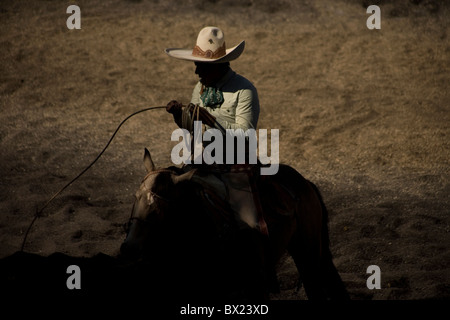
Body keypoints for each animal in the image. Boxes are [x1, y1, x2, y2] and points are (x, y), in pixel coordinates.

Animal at [120, 149, 348, 302]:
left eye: (158, 207)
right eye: (135, 197)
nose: (129, 247)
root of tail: (305, 183)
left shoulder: (247, 286)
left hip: (307, 254)